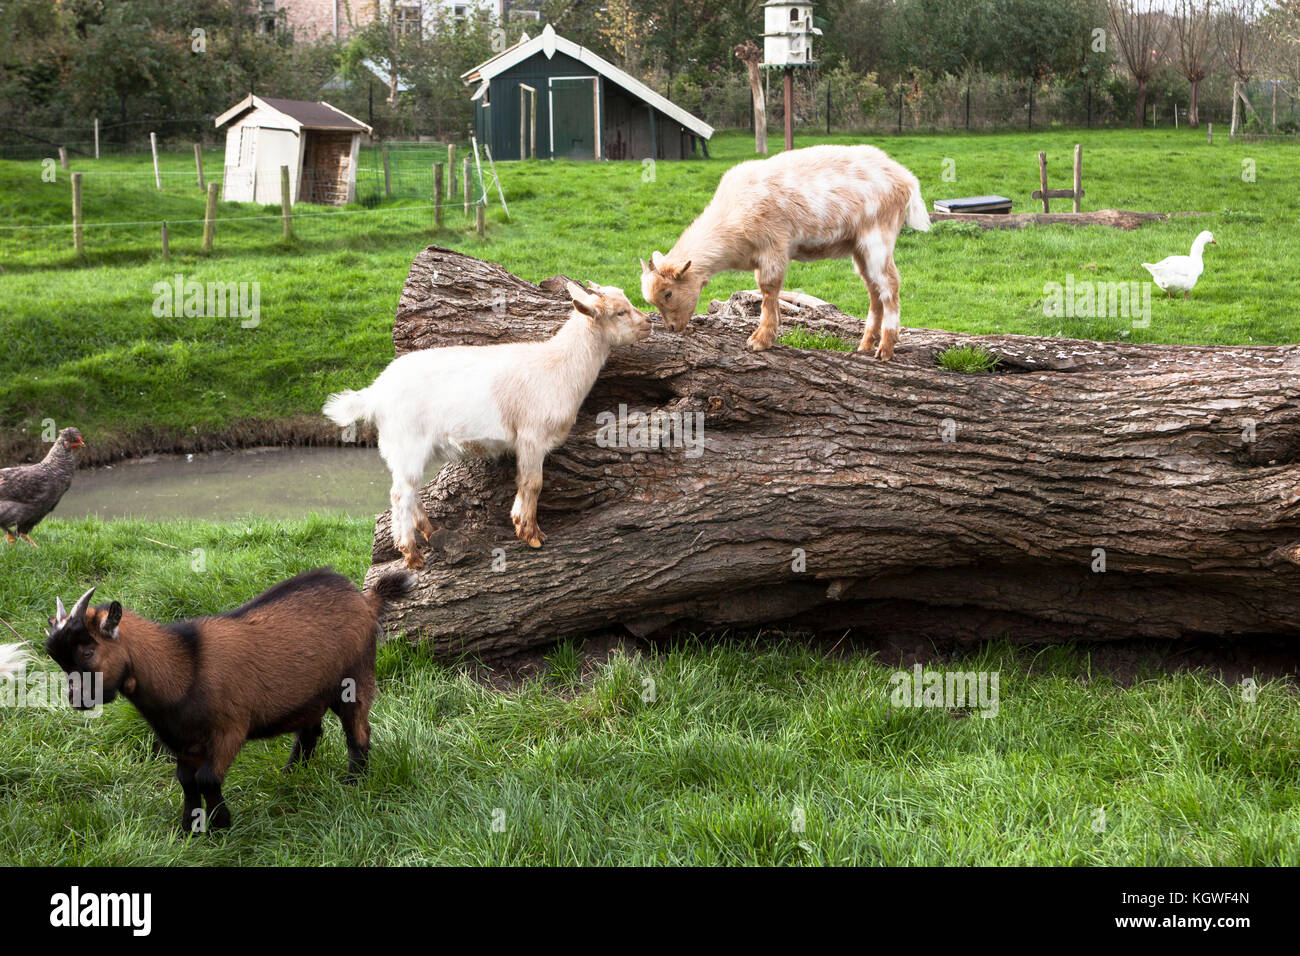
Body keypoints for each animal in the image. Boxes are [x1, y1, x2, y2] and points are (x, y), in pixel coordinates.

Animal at [45, 572, 408, 832]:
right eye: (58, 659)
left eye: (87, 651)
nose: (77, 700)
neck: (185, 665)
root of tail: (365, 601)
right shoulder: (182, 741)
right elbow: (186, 781)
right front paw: (190, 828)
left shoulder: (229, 731)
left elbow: (207, 779)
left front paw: (221, 824)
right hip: (308, 696)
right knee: (309, 733)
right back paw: (291, 775)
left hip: (355, 678)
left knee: (358, 732)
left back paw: (353, 784)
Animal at [325, 282, 650, 567]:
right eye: (620, 312)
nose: (648, 323)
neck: (558, 366)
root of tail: (376, 392)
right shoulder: (531, 436)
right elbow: (533, 483)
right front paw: (531, 535)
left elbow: (524, 483)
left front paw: (524, 526)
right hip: (407, 443)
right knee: (400, 494)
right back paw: (412, 555)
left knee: (408, 489)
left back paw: (429, 532)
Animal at [637, 143, 925, 361]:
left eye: (668, 293)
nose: (672, 328)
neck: (730, 217)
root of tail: (905, 178)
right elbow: (769, 293)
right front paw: (770, 333)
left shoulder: (773, 245)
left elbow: (768, 289)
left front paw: (760, 339)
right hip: (859, 248)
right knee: (874, 290)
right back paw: (865, 345)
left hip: (877, 238)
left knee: (889, 285)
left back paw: (885, 348)